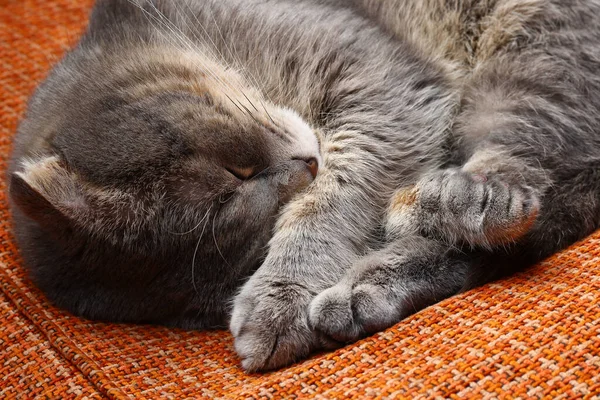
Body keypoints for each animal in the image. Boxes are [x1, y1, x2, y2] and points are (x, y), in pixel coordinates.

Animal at [7, 0, 600, 372]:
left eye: (238, 172)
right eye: (252, 230)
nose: (307, 162)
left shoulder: (381, 84)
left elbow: (333, 201)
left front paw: (281, 296)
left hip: (536, 50)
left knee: (522, 173)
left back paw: (447, 202)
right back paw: (364, 293)